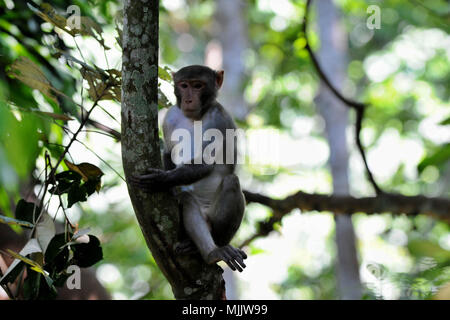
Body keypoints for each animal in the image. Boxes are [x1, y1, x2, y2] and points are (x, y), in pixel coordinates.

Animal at [131, 65, 246, 272]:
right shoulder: (171, 116)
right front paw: (168, 186)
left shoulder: (218, 118)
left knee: (231, 182)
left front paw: (160, 180)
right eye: (184, 85)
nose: (189, 99)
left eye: (198, 85)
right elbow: (168, 153)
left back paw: (212, 251)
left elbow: (205, 162)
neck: (195, 116)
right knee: (187, 200)